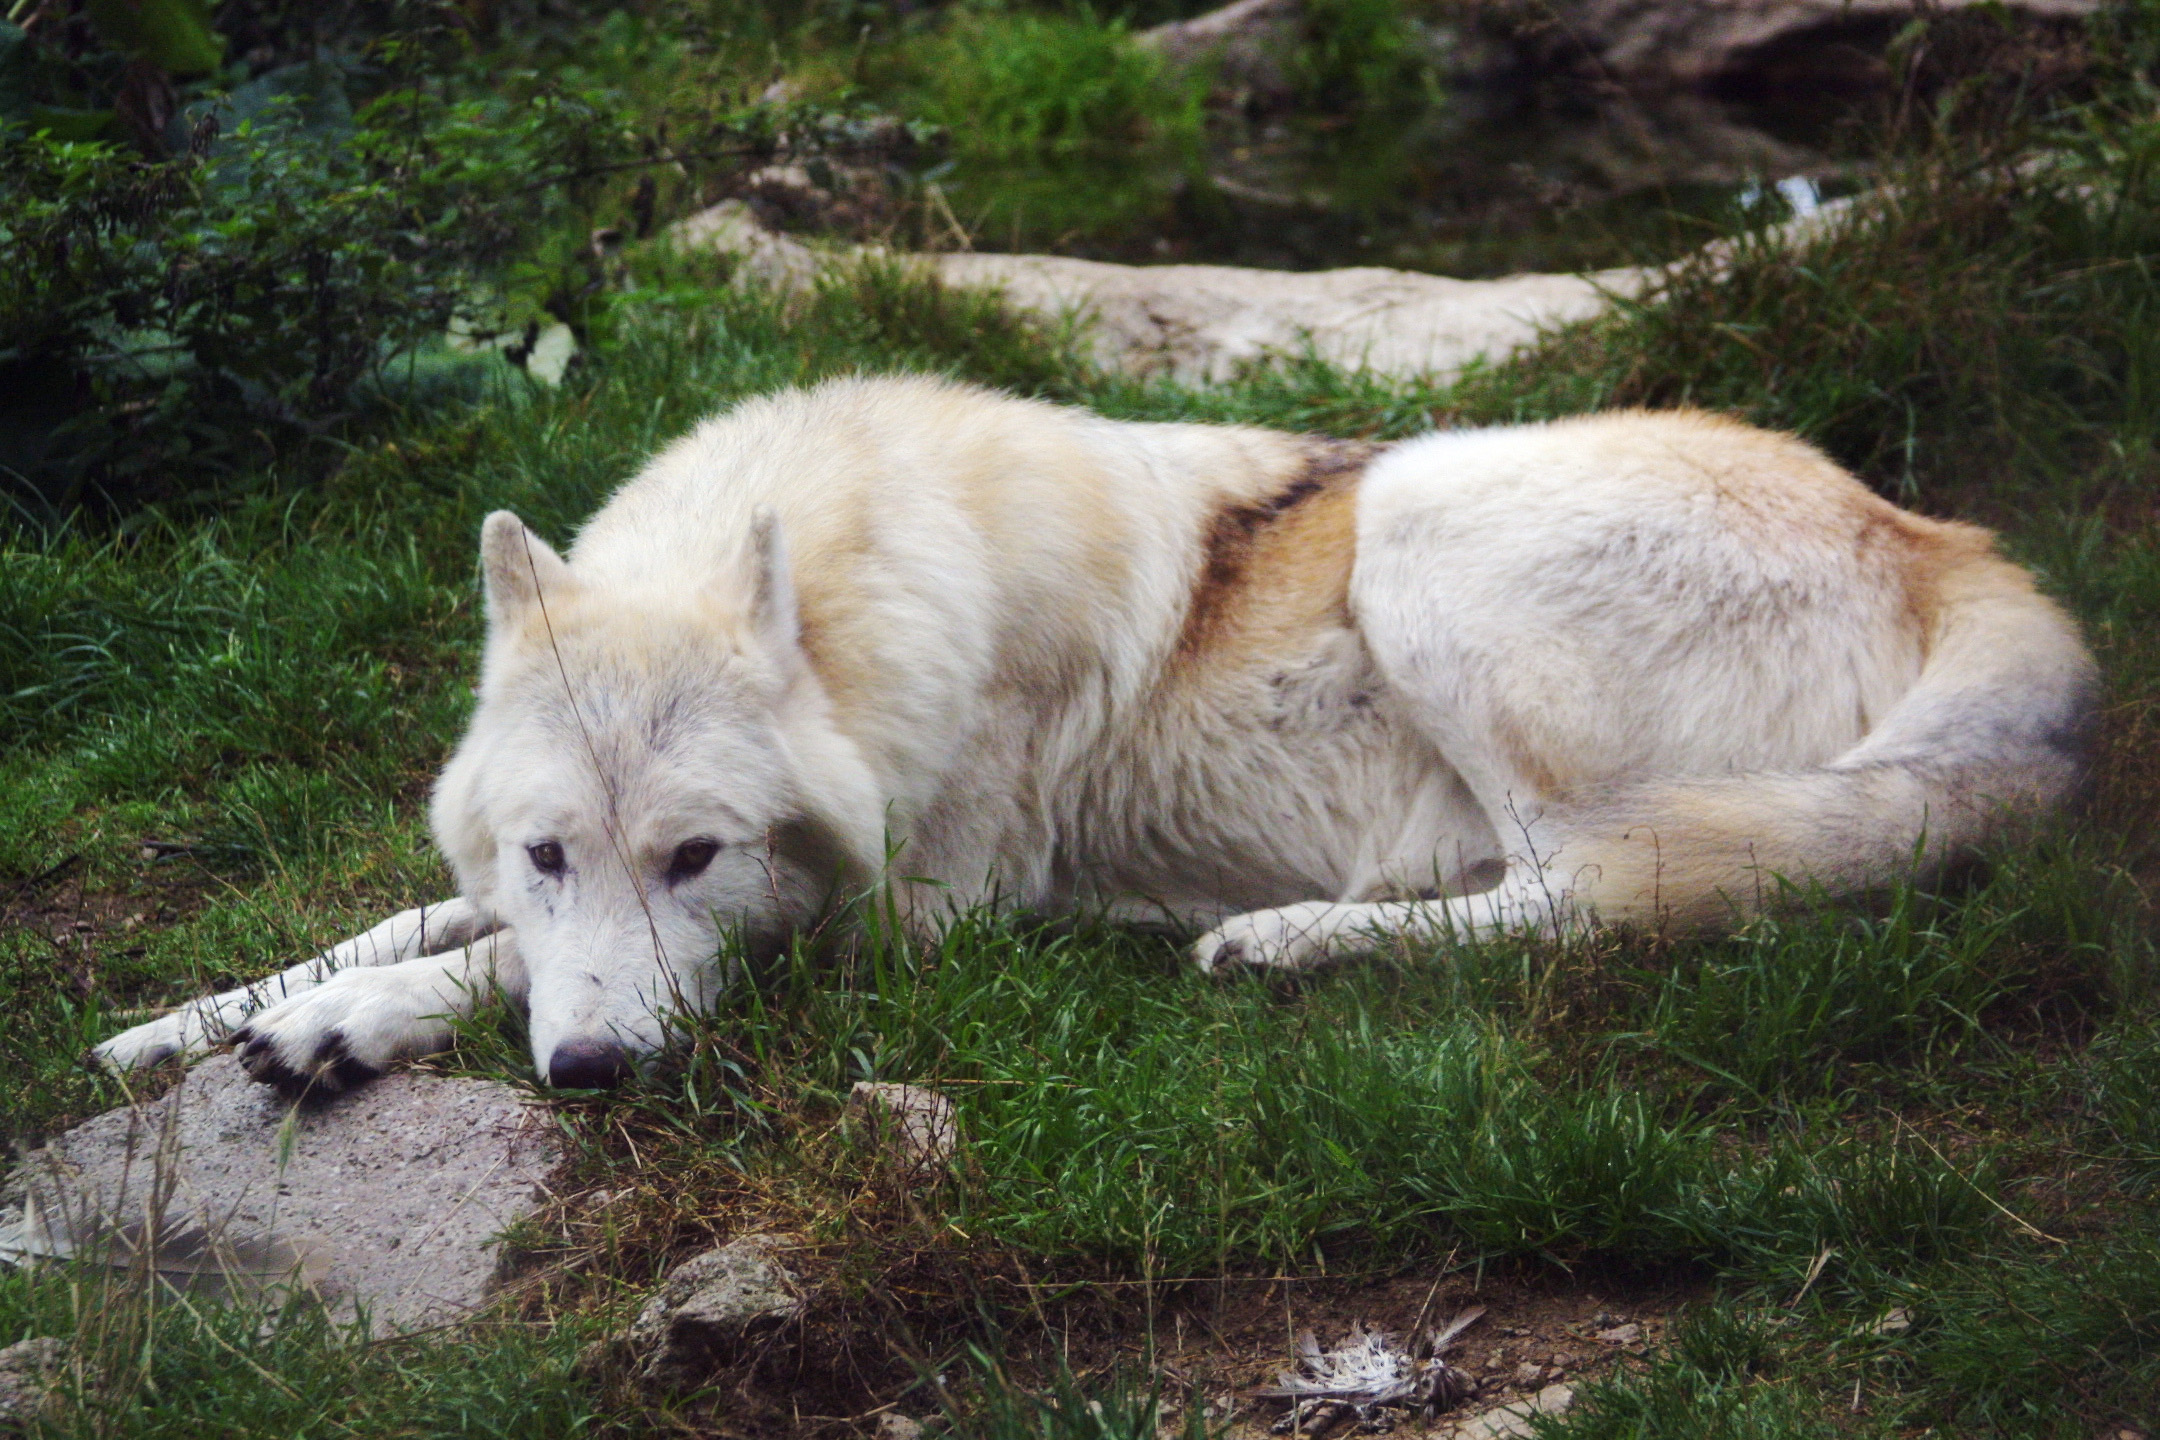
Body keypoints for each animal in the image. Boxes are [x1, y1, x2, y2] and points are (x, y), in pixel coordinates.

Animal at [88, 375, 2090, 1092]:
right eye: (553, 843)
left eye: (698, 857)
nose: (589, 1086)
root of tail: (1948, 540)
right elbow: (419, 915)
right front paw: (192, 1019)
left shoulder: (913, 926)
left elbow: (488, 962)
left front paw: (339, 1029)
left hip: (1433, 518)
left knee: (1588, 900)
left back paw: (1281, 947)